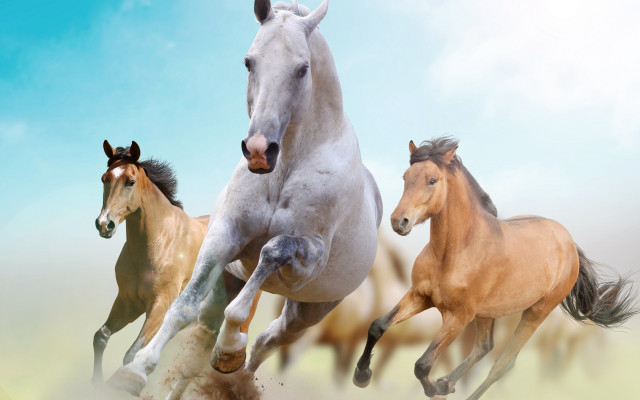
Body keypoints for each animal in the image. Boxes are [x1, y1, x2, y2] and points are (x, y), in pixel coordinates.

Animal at [92, 141, 261, 393]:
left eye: (130, 181)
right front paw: (96, 384)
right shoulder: (128, 302)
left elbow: (132, 353)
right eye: (104, 178)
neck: (160, 241)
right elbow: (101, 336)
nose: (105, 224)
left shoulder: (160, 305)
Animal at [353, 137, 636, 399]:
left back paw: (452, 386)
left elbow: (422, 364)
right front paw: (361, 376)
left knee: (502, 363)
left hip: (535, 313)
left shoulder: (459, 316)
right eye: (406, 177)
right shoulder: (420, 296)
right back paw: (448, 381)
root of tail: (568, 242)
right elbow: (378, 325)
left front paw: (434, 388)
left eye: (432, 180)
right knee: (484, 348)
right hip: (488, 312)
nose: (398, 221)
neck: (453, 253)